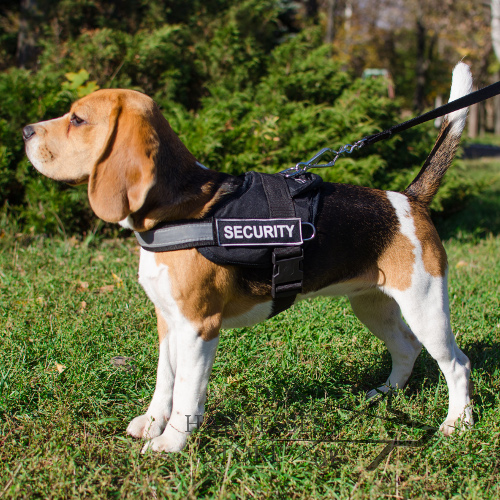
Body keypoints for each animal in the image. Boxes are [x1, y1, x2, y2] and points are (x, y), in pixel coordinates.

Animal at [23, 62, 474, 454]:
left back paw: (458, 423)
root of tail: (409, 198)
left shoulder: (198, 327)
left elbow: (185, 390)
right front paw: (152, 423)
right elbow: (164, 381)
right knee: (406, 348)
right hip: (371, 305)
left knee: (457, 364)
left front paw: (171, 444)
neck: (176, 211)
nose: (25, 130)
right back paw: (385, 393)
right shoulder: (167, 321)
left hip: (426, 306)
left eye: (77, 119)